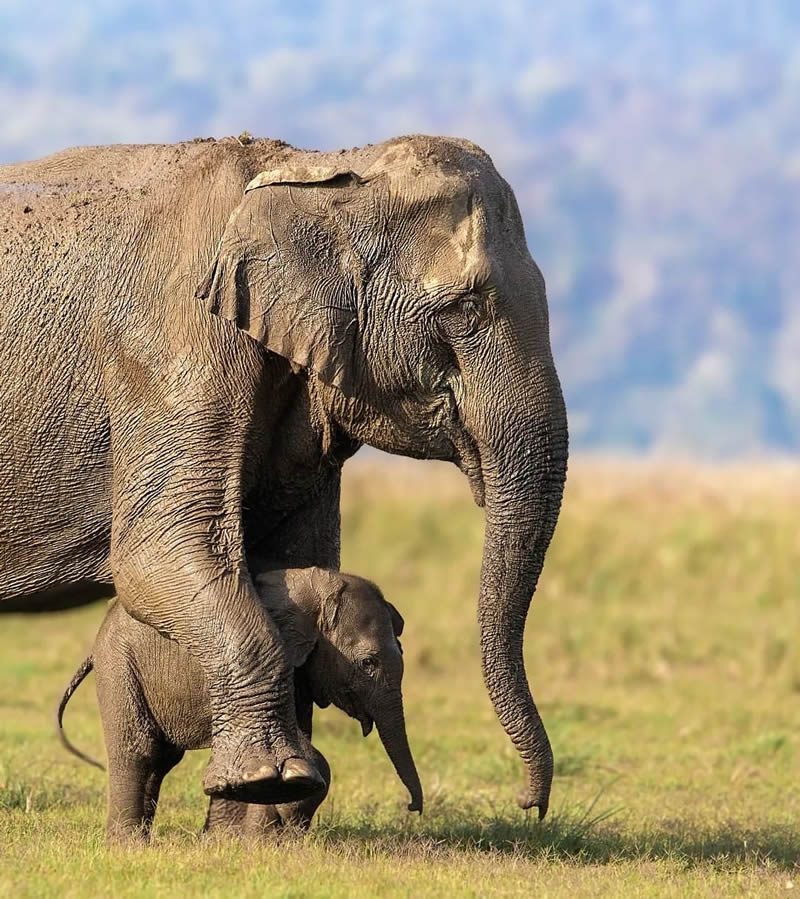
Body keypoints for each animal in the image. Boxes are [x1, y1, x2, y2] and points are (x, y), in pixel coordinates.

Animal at [0, 134, 564, 816]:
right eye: (466, 306)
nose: (528, 804)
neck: (319, 166)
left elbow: (290, 563)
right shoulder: (175, 350)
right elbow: (157, 554)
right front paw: (273, 778)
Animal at [57, 568, 422, 844]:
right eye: (368, 663)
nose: (411, 808)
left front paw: (265, 840)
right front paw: (275, 829)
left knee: (161, 760)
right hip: (120, 666)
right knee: (137, 750)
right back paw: (129, 846)